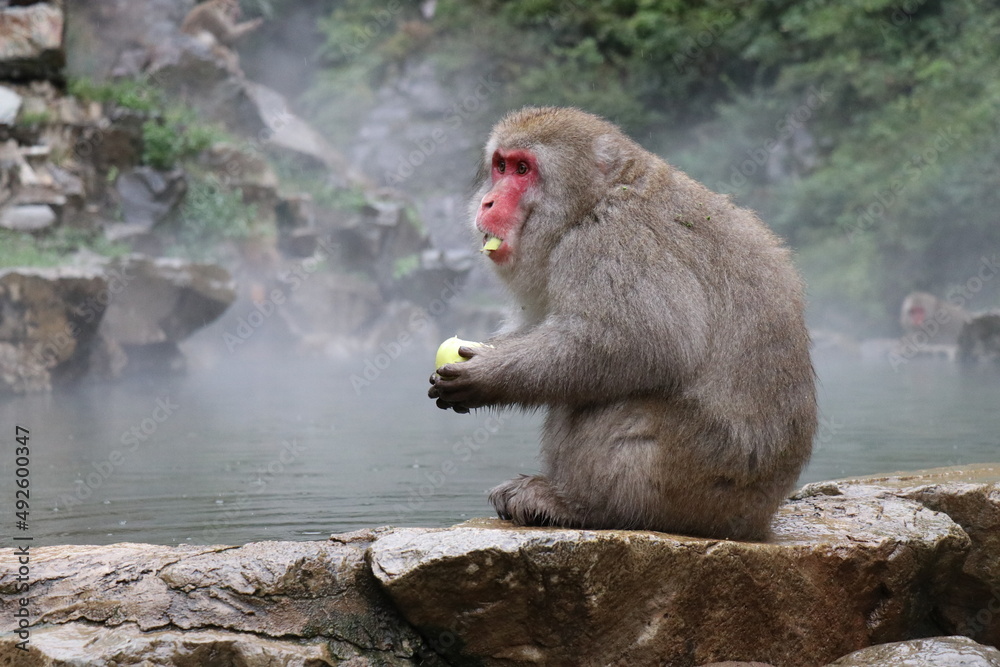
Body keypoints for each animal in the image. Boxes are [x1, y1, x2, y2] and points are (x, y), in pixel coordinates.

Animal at [428, 107, 817, 541]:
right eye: (501, 166)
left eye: (523, 169)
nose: (488, 201)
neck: (593, 202)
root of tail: (758, 517)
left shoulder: (615, 240)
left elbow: (638, 341)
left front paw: (485, 376)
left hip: (696, 479)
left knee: (614, 397)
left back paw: (581, 506)